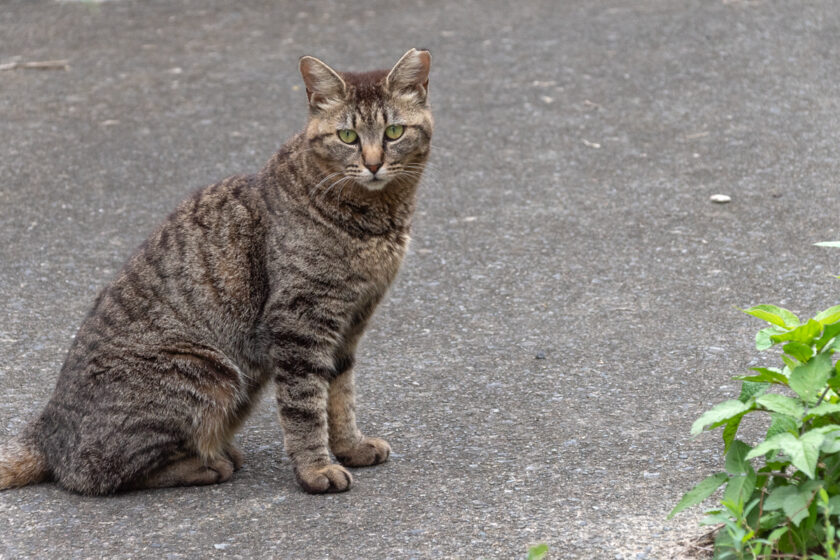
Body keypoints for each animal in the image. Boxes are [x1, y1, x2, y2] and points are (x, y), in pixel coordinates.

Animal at [0, 48, 434, 494]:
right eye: (348, 137)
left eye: (394, 132)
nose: (373, 163)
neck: (376, 221)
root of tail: (47, 429)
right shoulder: (301, 323)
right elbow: (305, 407)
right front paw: (316, 468)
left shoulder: (350, 324)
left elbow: (340, 395)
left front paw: (350, 446)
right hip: (210, 373)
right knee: (99, 473)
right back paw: (207, 464)